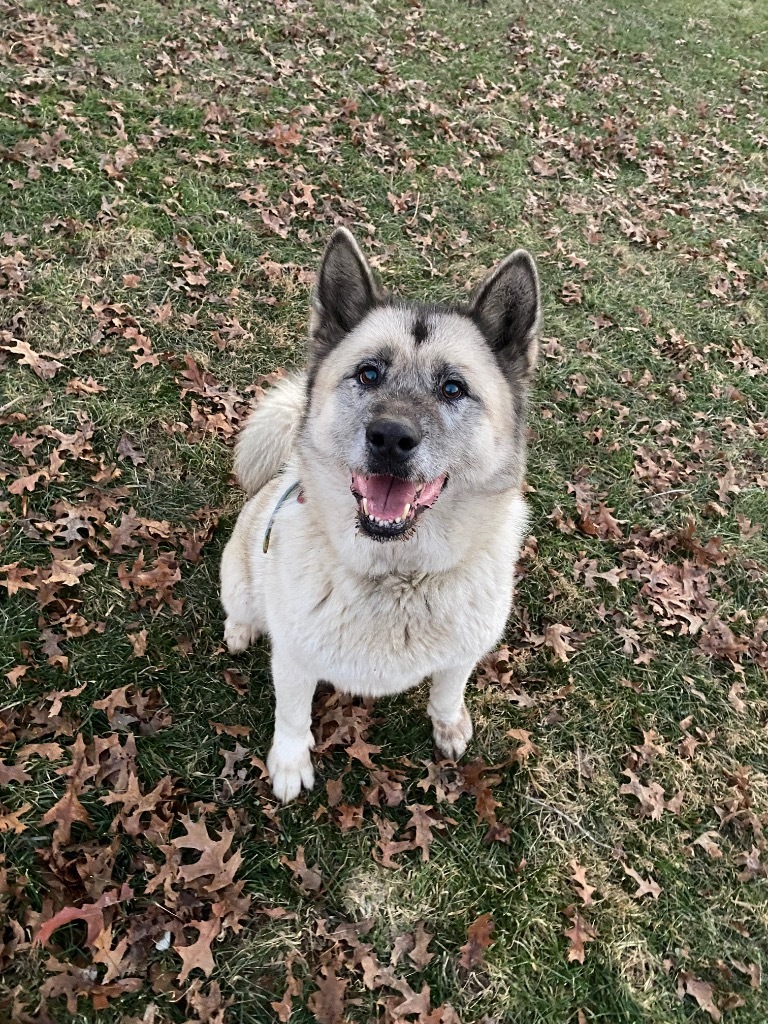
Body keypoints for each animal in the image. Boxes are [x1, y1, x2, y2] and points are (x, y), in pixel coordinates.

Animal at [218, 230, 540, 798]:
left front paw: (448, 724)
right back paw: (240, 629)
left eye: (453, 388)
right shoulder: (294, 659)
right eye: (368, 374)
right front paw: (290, 762)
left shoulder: (462, 654)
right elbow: (292, 715)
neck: (399, 576)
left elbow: (447, 690)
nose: (390, 438)